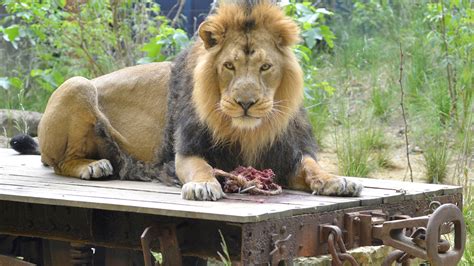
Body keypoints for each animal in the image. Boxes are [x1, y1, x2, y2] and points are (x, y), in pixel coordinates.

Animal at [12, 1, 364, 201]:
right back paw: (93, 166)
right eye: (229, 66)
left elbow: (312, 166)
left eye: (265, 67)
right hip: (77, 84)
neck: (248, 131)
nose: (246, 103)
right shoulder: (186, 150)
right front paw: (204, 186)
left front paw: (336, 181)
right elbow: (200, 167)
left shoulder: (286, 155)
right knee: (58, 162)